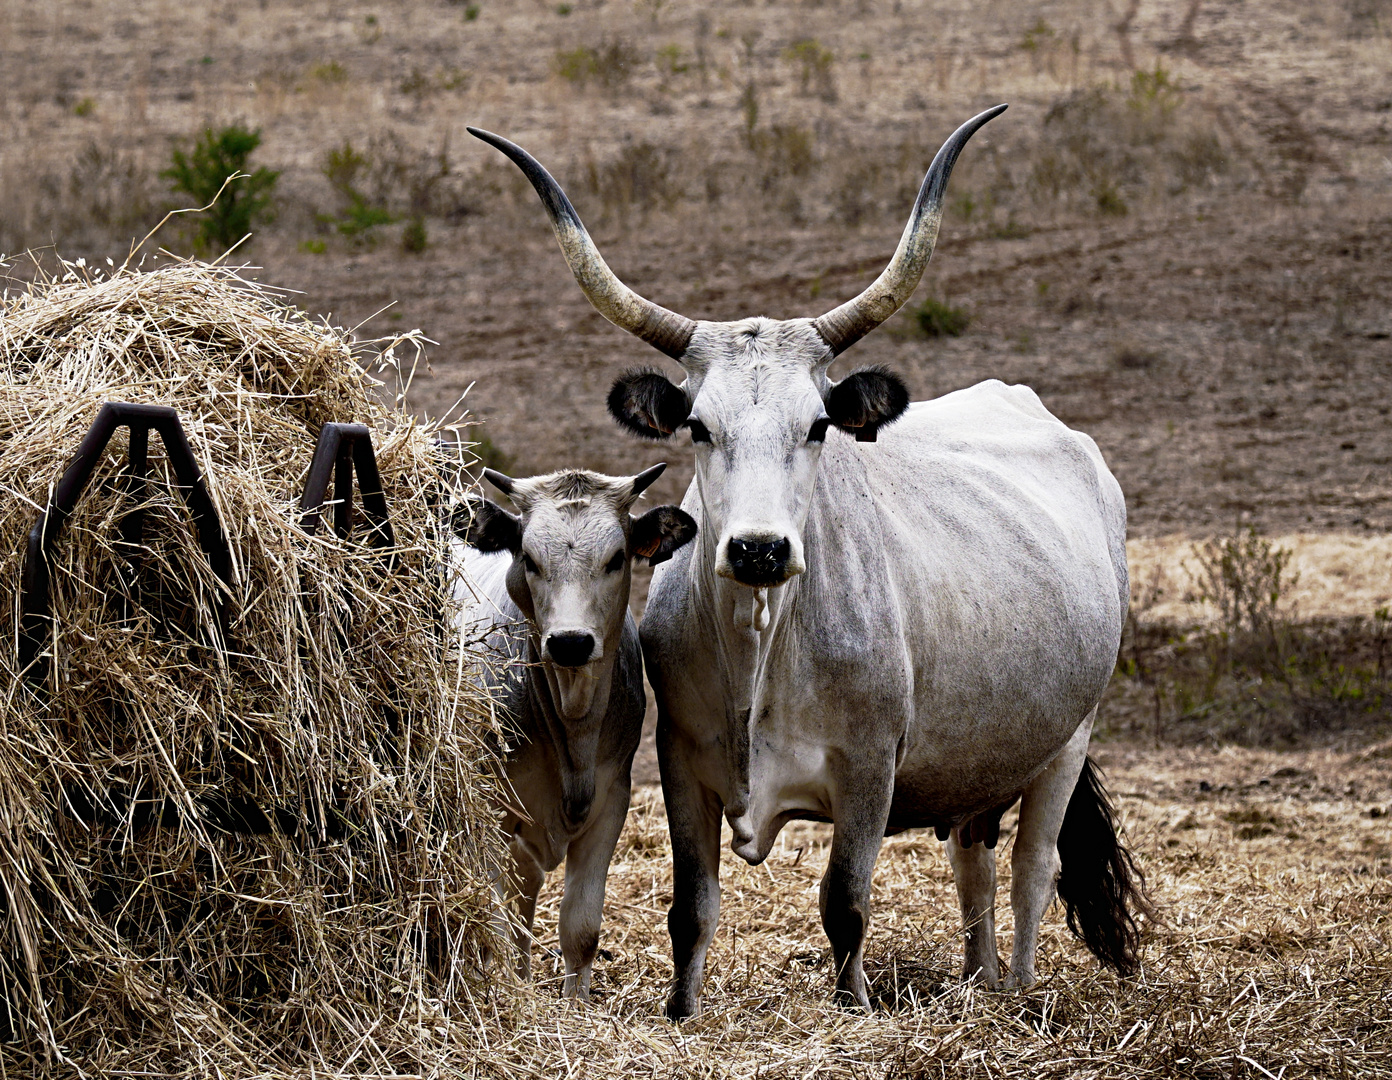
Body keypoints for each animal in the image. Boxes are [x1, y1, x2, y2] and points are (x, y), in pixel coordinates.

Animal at [453, 459, 696, 1002]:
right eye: (528, 558)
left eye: (617, 558)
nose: (569, 642)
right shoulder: (493, 808)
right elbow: (497, 917)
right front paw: (507, 994)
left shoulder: (612, 802)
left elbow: (580, 926)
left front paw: (576, 1003)